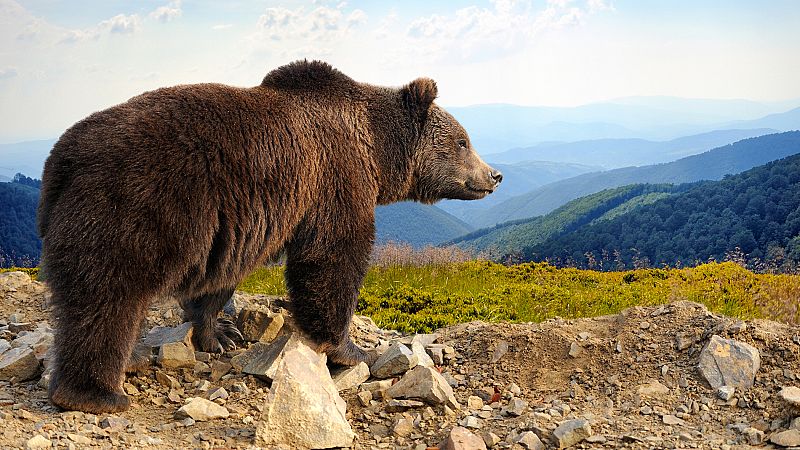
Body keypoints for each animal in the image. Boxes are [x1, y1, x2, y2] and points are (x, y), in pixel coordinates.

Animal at [38, 60, 503, 414]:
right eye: (463, 141)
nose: (494, 175)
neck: (376, 149)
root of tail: (62, 158)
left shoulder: (234, 224)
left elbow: (220, 278)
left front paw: (220, 333)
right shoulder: (334, 178)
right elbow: (333, 258)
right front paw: (350, 349)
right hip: (135, 206)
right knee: (107, 297)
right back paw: (96, 392)